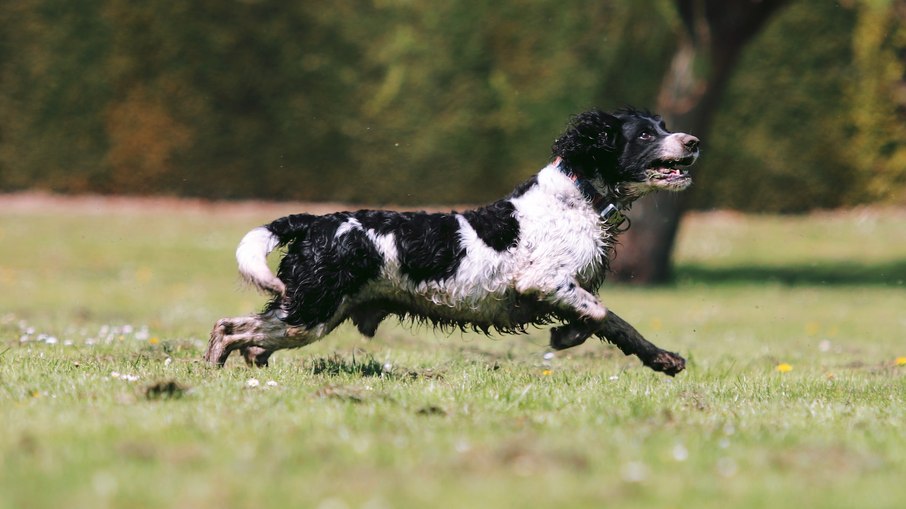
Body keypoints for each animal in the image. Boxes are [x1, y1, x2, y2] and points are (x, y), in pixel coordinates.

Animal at [205, 109, 700, 376]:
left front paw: (665, 360)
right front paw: (563, 337)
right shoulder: (543, 282)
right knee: (228, 328)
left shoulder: (570, 288)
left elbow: (618, 325)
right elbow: (597, 314)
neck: (579, 195)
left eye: (663, 124)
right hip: (309, 311)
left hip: (312, 312)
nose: (693, 141)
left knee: (251, 339)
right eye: (644, 134)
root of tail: (314, 223)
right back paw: (211, 371)